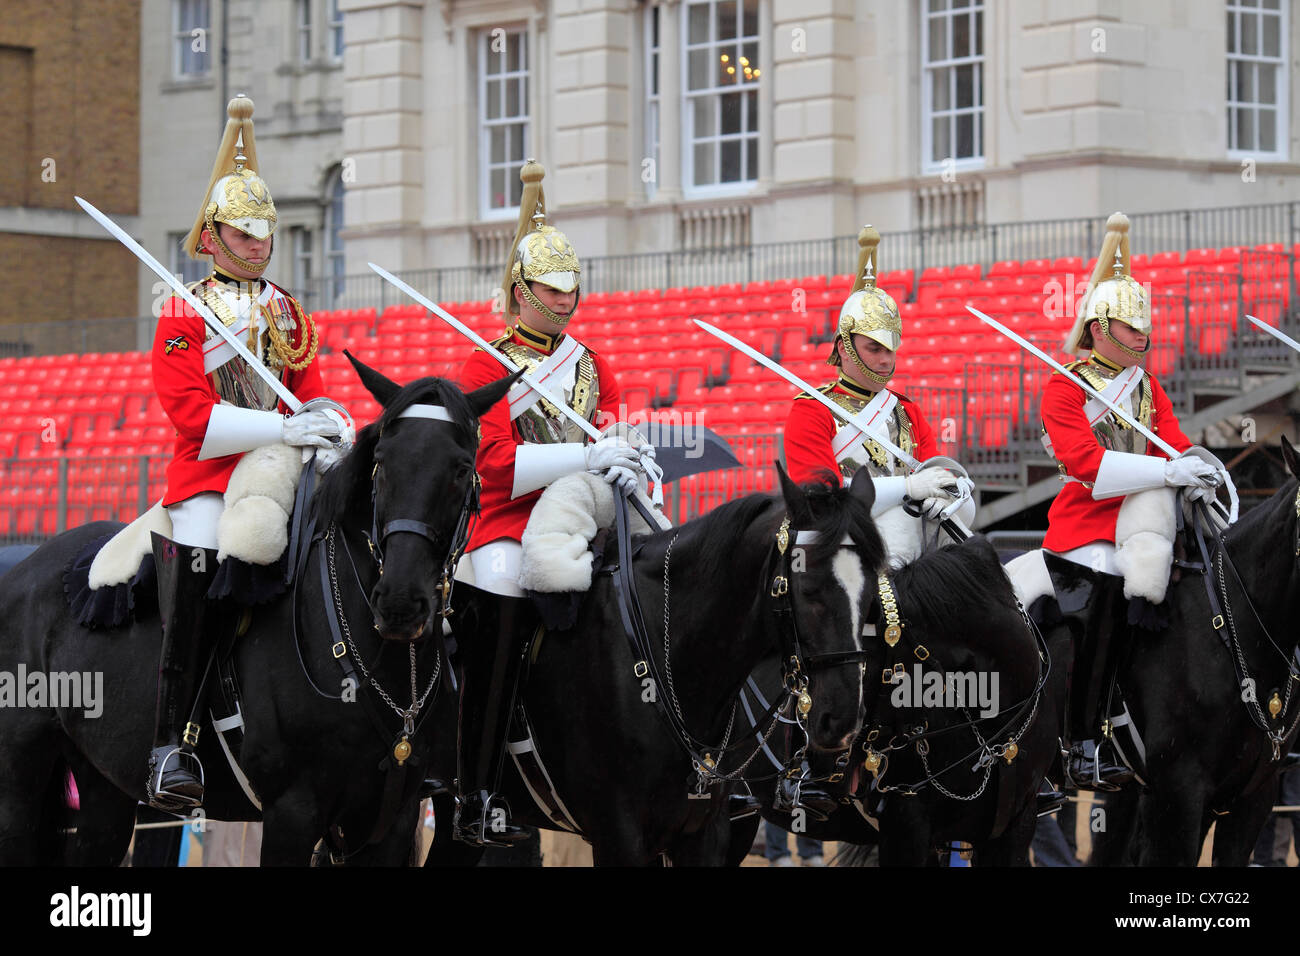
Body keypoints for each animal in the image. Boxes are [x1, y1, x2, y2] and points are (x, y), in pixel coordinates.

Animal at [0, 361, 514, 868]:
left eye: (462, 468)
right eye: (382, 463)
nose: (400, 604)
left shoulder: (389, 820)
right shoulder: (293, 813)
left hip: (103, 786)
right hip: (21, 782)